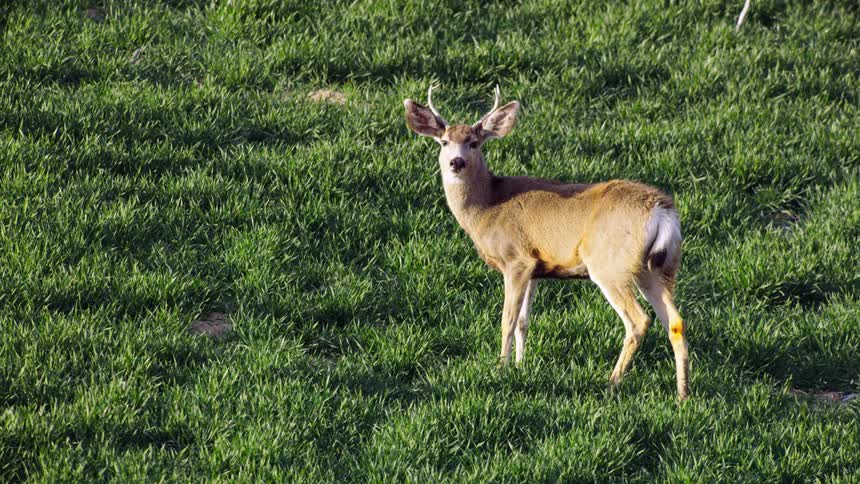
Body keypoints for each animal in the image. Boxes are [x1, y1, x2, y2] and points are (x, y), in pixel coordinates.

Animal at [403, 85, 690, 400]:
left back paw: (612, 383)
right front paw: (520, 366)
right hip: (659, 267)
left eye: (474, 143)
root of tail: (662, 210)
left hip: (610, 265)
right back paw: (682, 394)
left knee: (639, 321)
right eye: (444, 142)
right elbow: (523, 322)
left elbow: (507, 320)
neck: (488, 206)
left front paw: (500, 368)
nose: (457, 162)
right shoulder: (535, 268)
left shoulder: (516, 259)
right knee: (675, 321)